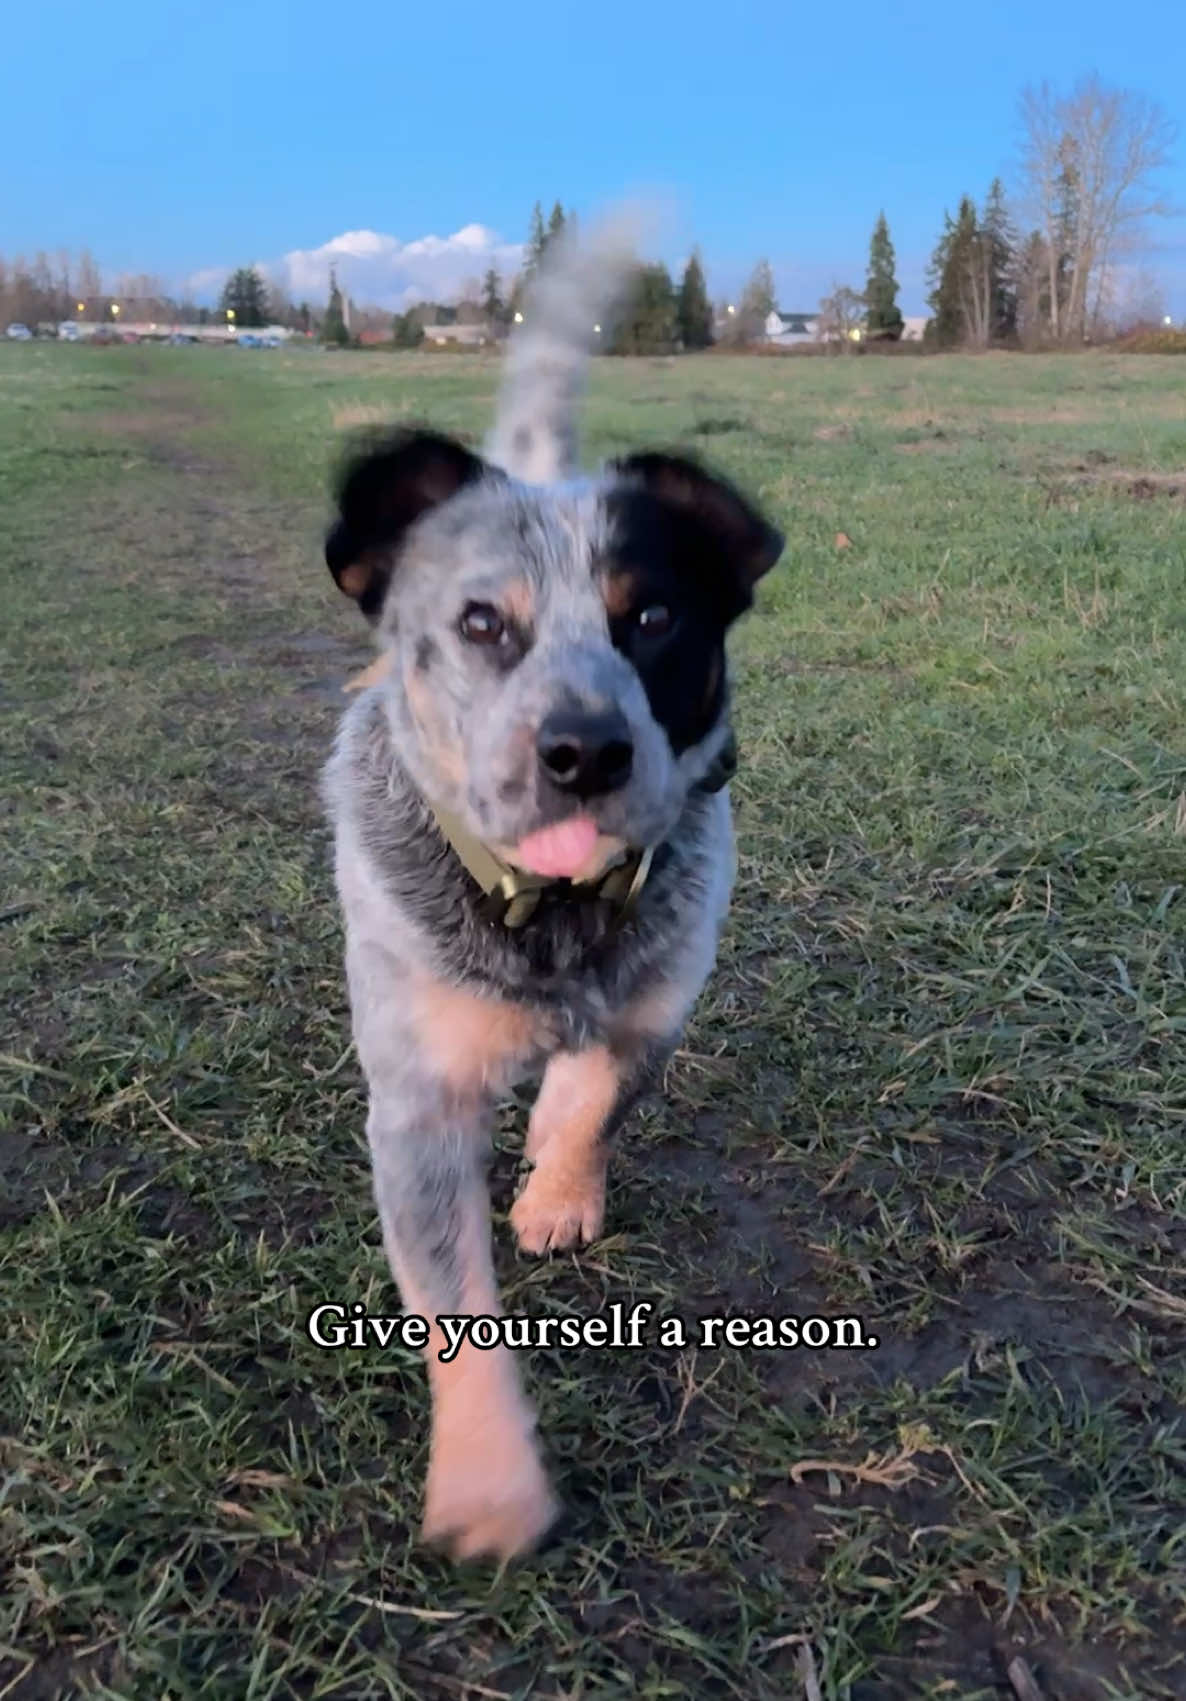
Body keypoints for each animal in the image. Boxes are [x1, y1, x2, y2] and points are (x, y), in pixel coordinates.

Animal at [319, 216, 782, 1564]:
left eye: (655, 617)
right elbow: (455, 1300)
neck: (554, 919)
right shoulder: (416, 1099)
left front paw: (556, 1192)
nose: (584, 750)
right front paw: (487, 1486)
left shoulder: (660, 993)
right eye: (482, 623)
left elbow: (587, 1101)